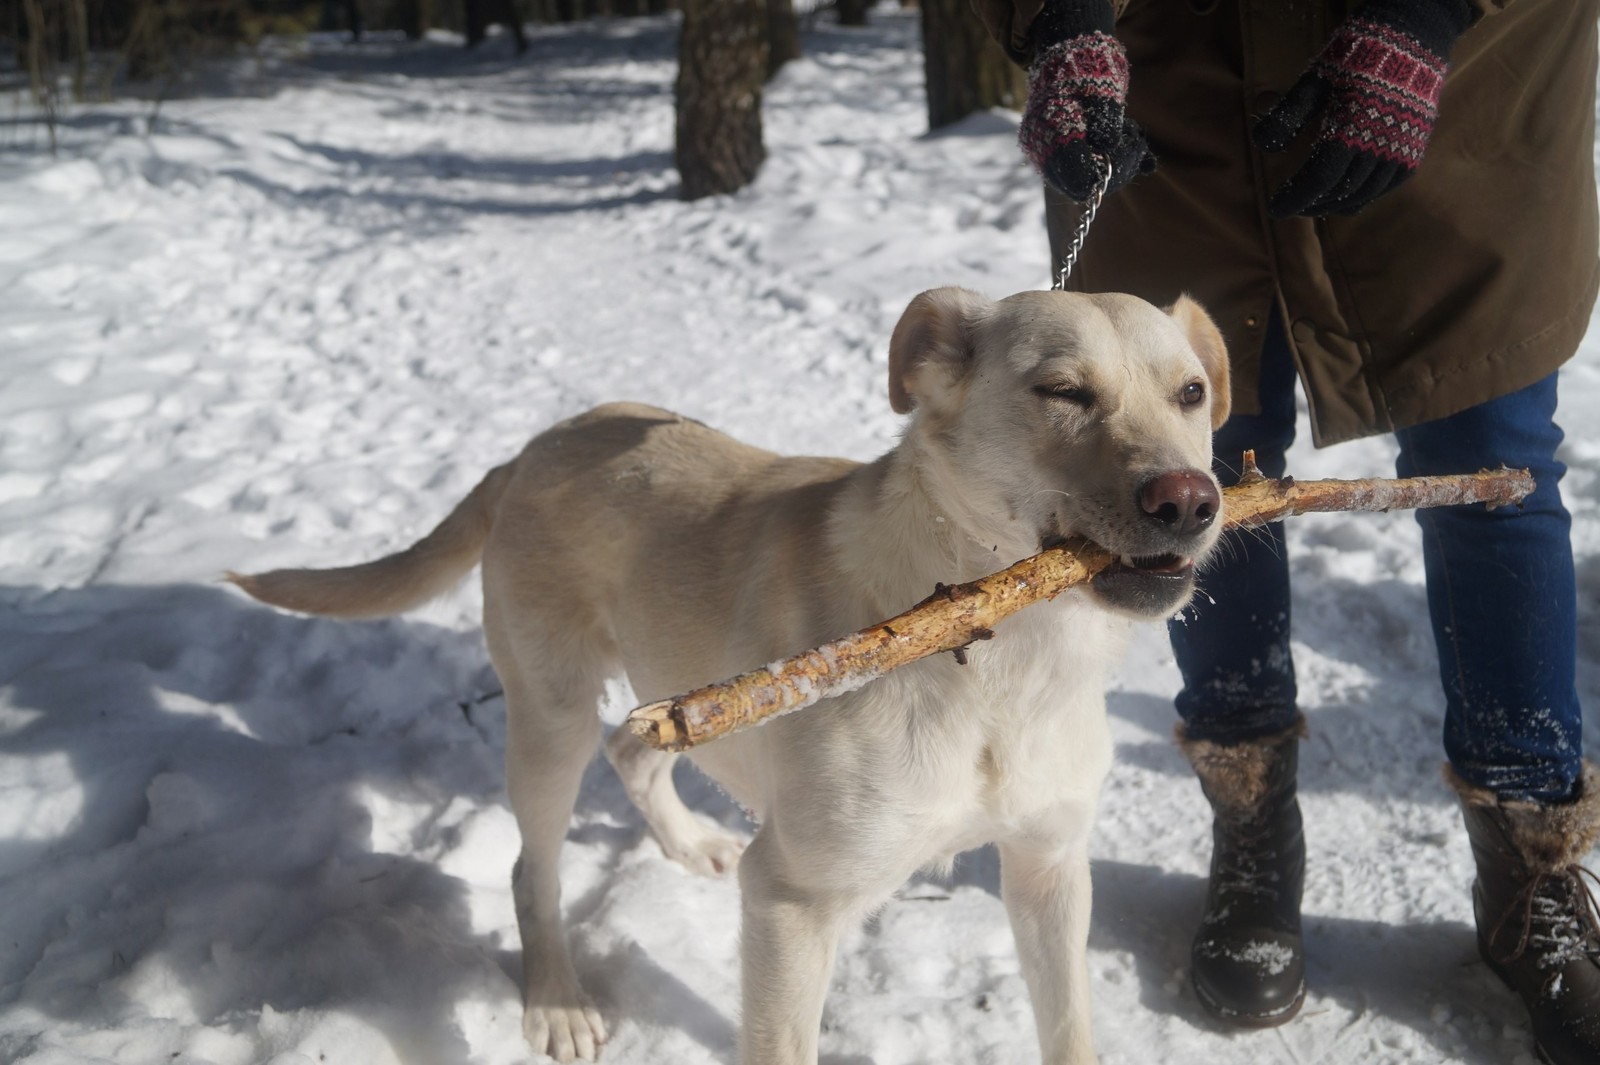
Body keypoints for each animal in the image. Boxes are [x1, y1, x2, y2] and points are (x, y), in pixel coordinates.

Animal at [236, 284, 1228, 1061]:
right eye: (1062, 390)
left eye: (1192, 392)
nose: (1189, 500)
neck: (1007, 656)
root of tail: (535, 447)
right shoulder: (793, 899)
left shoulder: (1050, 868)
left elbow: (1069, 1030)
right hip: (553, 716)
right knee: (532, 868)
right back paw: (557, 1000)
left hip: (686, 699)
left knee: (633, 752)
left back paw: (686, 842)